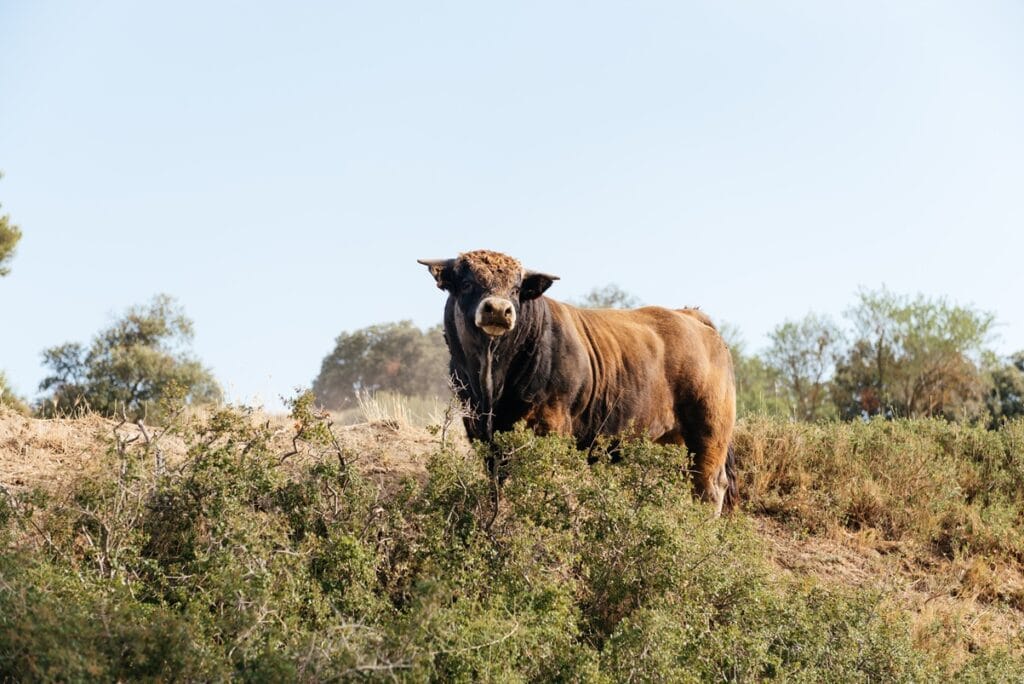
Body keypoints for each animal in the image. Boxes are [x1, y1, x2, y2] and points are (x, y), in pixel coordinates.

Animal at [418, 249, 738, 514]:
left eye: (516, 288)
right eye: (467, 284)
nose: (498, 309)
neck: (492, 379)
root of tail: (690, 316)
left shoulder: (548, 426)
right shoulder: (481, 432)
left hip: (708, 436)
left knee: (708, 486)